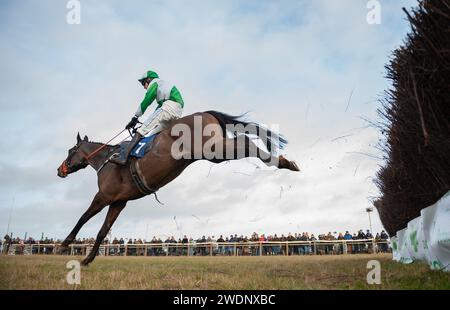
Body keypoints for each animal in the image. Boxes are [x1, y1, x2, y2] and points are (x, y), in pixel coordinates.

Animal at [58, 110, 300, 266]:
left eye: (70, 151)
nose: (59, 170)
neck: (107, 161)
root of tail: (205, 112)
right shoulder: (119, 202)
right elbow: (102, 231)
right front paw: (87, 259)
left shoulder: (103, 196)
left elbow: (82, 218)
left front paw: (64, 244)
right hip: (215, 152)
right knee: (244, 141)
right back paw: (283, 161)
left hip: (212, 149)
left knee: (246, 143)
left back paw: (281, 161)